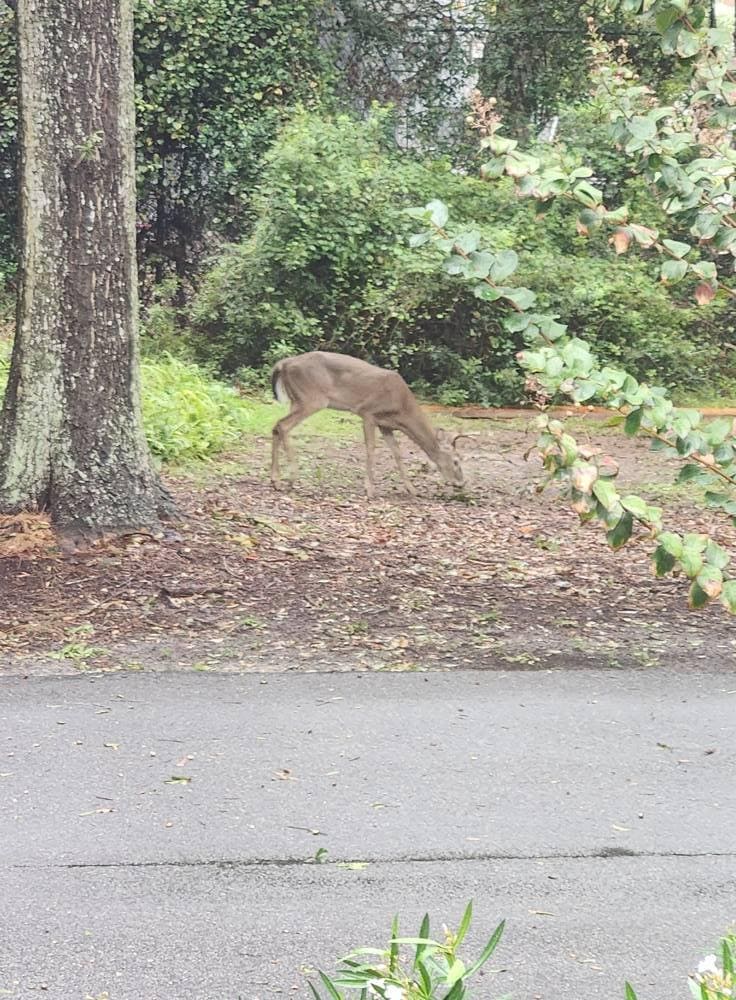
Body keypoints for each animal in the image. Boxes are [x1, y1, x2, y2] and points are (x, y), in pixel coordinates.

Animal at [270, 351, 466, 498]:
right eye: (456, 461)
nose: (461, 483)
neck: (402, 409)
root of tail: (284, 364)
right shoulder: (368, 413)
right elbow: (371, 448)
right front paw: (370, 489)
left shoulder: (386, 425)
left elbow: (397, 452)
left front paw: (412, 489)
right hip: (312, 399)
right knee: (283, 426)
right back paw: (292, 479)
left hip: (296, 400)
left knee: (276, 426)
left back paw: (275, 480)